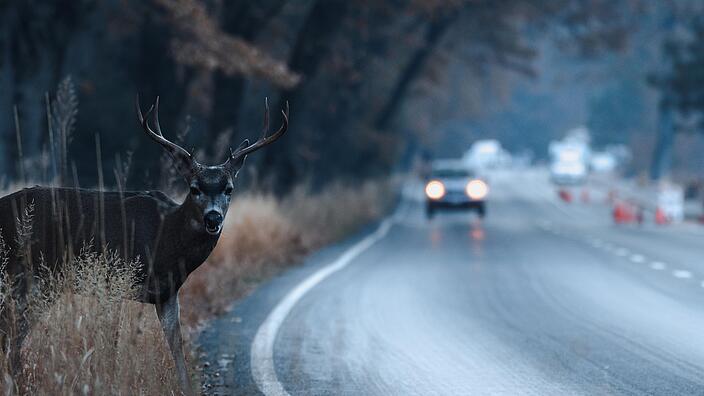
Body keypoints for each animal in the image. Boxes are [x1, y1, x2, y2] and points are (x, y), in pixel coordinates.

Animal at [0, 95, 288, 392]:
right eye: (194, 188)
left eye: (229, 188)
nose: (213, 217)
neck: (167, 241)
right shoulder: (116, 276)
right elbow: (113, 340)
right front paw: (109, 379)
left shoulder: (167, 292)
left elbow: (176, 344)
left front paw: (185, 387)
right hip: (28, 274)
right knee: (11, 333)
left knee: (12, 334)